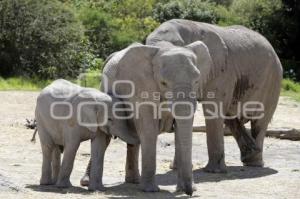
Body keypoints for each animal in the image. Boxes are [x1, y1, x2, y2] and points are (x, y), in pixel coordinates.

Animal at [146, 18, 284, 171]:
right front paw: (177, 168)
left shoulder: (221, 72)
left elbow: (212, 110)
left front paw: (213, 172)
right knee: (232, 119)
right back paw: (250, 156)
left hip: (273, 80)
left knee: (259, 121)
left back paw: (255, 164)